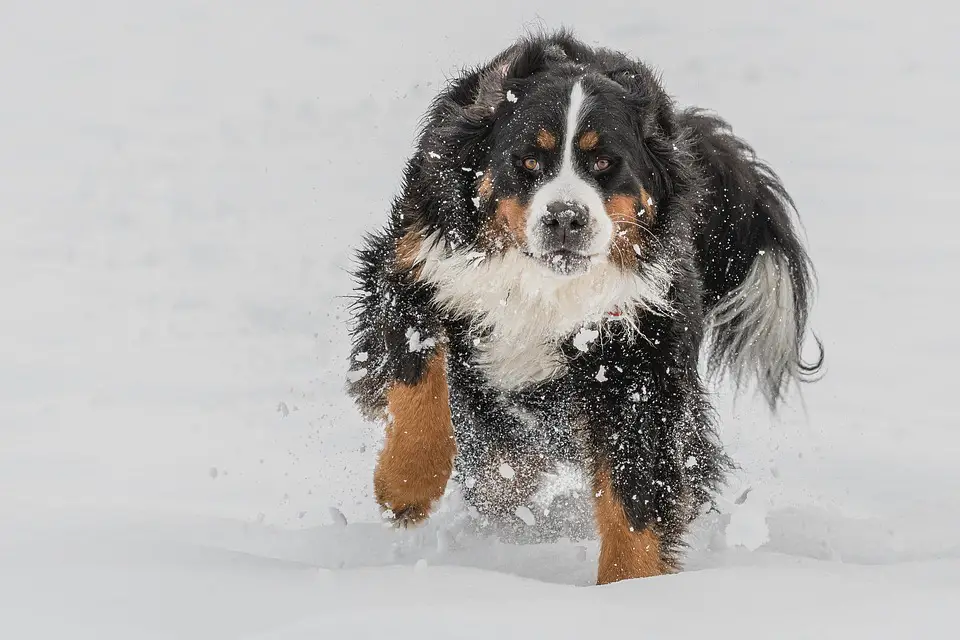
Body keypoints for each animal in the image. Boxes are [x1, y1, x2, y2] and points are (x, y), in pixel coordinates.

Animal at [348, 31, 820, 584]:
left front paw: (629, 588)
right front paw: (405, 486)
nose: (565, 218)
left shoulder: (635, 360)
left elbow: (635, 492)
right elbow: (417, 378)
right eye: (529, 161)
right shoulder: (415, 268)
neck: (543, 288)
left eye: (604, 164)